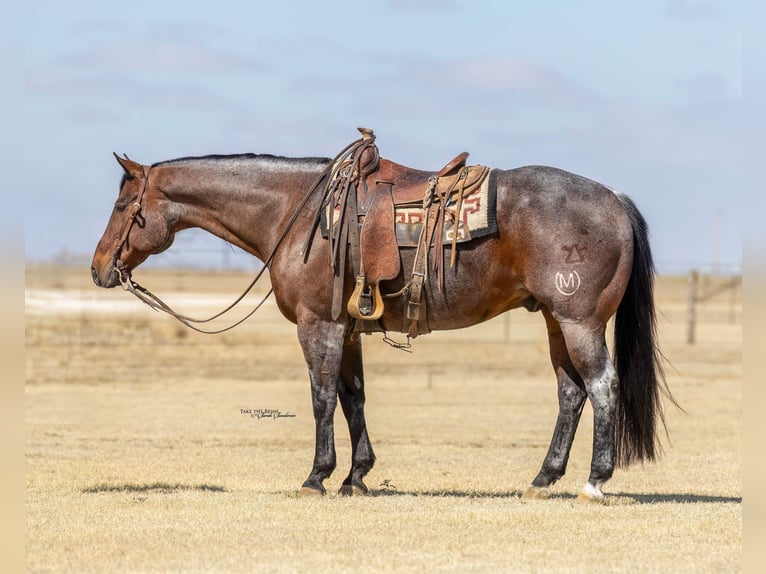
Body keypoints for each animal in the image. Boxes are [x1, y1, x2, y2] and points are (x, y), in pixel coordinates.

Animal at [91, 136, 675, 502]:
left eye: (121, 207)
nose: (98, 268)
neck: (297, 214)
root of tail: (614, 199)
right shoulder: (347, 330)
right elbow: (353, 398)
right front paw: (357, 476)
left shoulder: (318, 326)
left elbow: (322, 397)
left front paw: (317, 476)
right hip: (556, 322)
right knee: (571, 394)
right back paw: (542, 478)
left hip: (579, 322)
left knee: (601, 386)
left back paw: (595, 481)